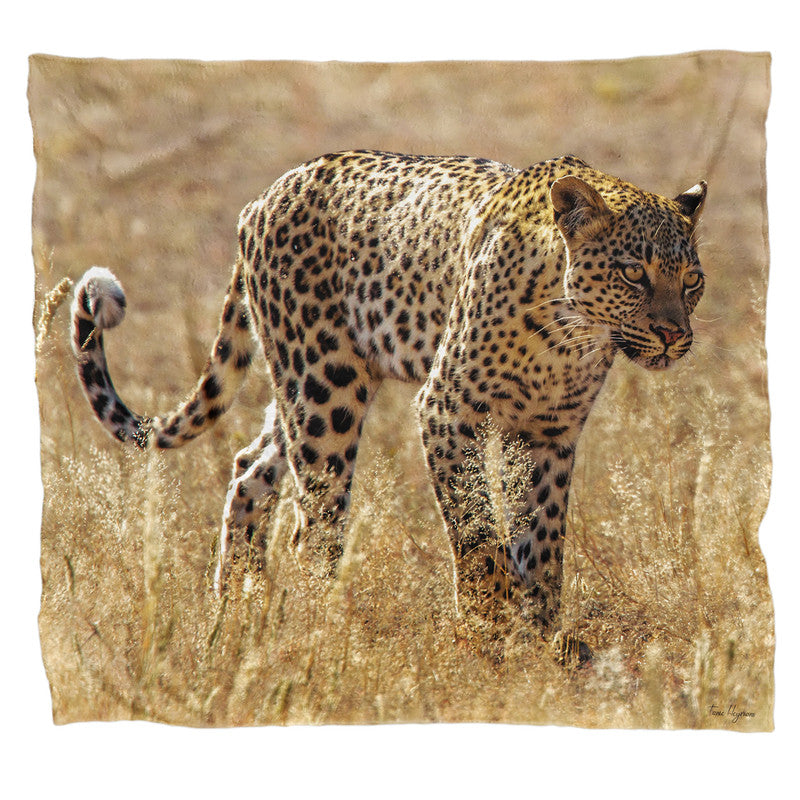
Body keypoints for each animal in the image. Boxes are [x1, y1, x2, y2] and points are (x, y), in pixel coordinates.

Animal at [70, 151, 706, 657]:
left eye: (692, 280)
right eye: (633, 274)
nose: (675, 335)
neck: (570, 336)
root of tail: (264, 196)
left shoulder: (551, 433)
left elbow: (545, 539)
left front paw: (542, 633)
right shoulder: (448, 410)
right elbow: (477, 531)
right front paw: (488, 629)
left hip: (306, 385)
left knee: (250, 469)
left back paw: (233, 611)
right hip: (325, 391)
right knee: (312, 523)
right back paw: (320, 625)